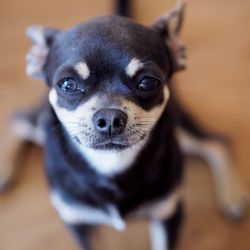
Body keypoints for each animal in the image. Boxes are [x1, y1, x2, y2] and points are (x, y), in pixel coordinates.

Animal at [0, 0, 247, 250]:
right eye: (67, 84)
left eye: (148, 82)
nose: (109, 118)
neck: (111, 164)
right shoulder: (79, 222)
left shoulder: (167, 213)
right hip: (41, 123)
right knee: (19, 119)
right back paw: (4, 170)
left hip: (180, 131)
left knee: (217, 142)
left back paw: (232, 195)